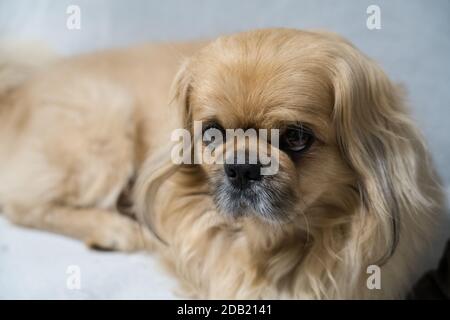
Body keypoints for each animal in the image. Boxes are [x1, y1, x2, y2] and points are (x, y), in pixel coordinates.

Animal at [0, 28, 444, 298]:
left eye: (296, 137)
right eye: (212, 134)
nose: (243, 166)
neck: (271, 243)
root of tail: (17, 90)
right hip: (107, 118)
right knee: (23, 205)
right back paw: (113, 229)